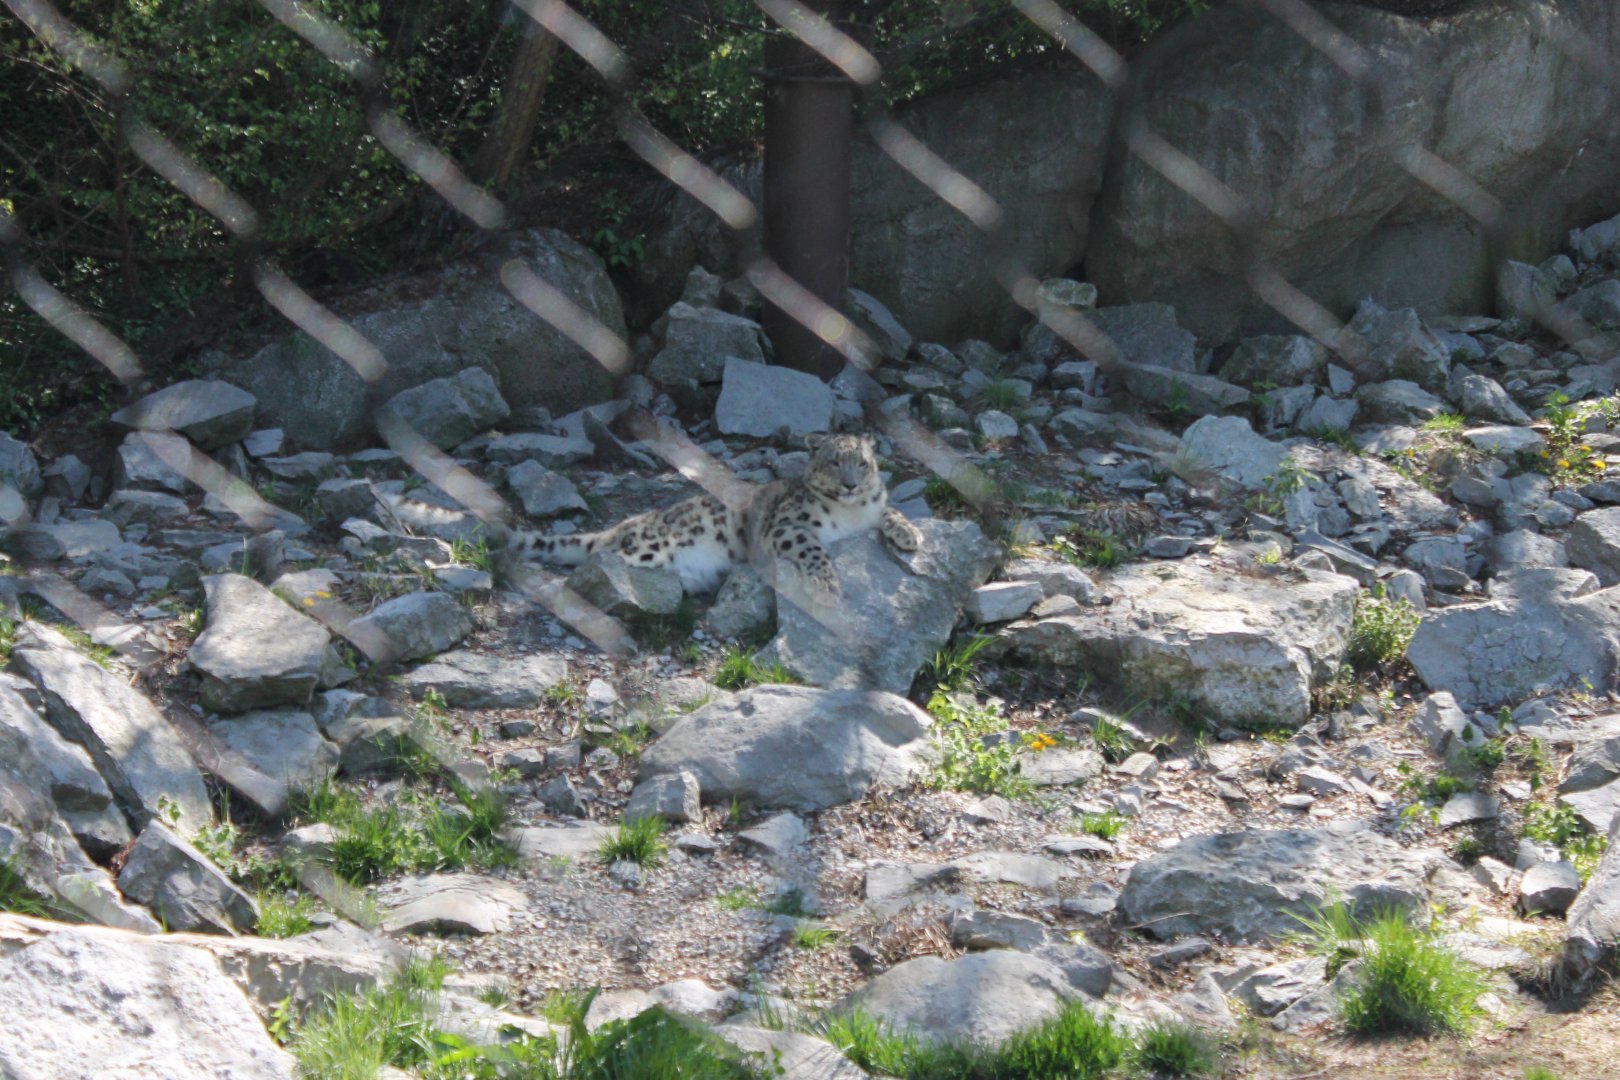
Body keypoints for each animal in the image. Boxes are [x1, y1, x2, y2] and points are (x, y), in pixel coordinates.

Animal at [505, 433, 922, 599]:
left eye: (862, 463)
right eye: (834, 461)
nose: (850, 484)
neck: (849, 512)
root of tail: (619, 526)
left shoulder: (873, 508)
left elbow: (891, 509)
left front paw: (910, 534)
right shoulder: (786, 525)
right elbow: (813, 549)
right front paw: (826, 584)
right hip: (647, 547)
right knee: (593, 564)